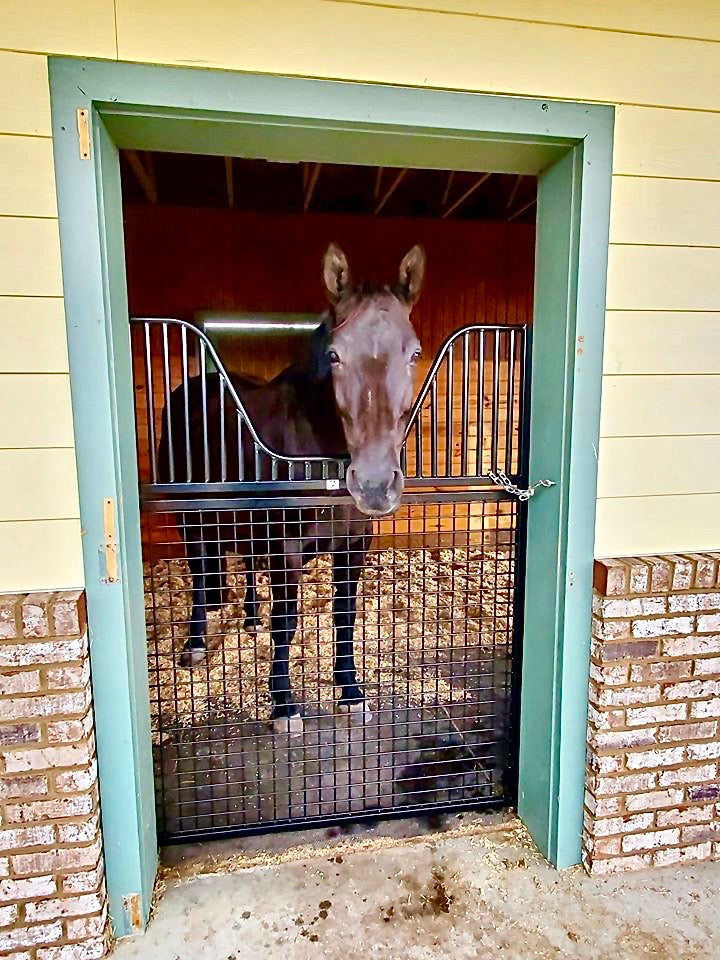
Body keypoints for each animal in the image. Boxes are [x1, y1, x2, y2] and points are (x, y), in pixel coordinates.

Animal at [160, 242, 424, 736]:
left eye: (414, 353)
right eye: (335, 354)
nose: (375, 484)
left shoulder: (353, 546)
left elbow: (343, 617)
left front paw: (350, 691)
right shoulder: (287, 548)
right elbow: (287, 622)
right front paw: (284, 705)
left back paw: (249, 619)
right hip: (191, 517)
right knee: (201, 574)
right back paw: (196, 644)